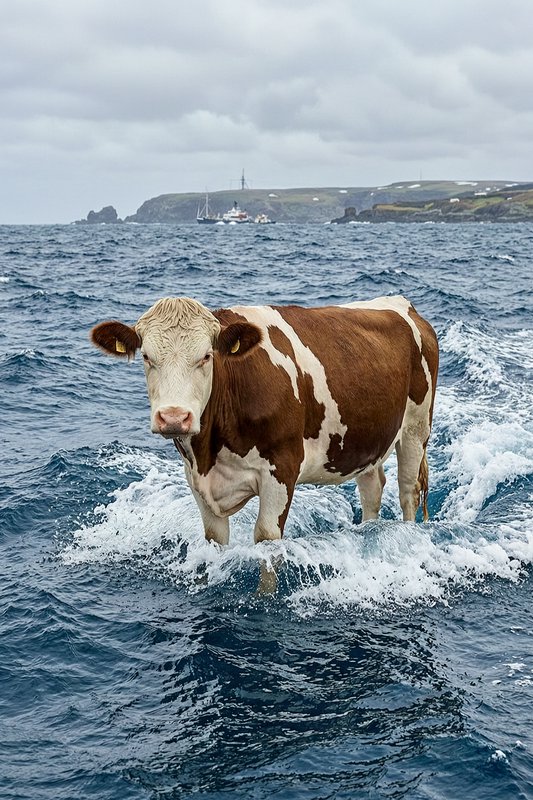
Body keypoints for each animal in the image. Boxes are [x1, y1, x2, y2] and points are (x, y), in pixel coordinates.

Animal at [91, 296, 439, 562]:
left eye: (206, 356)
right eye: (147, 357)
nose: (174, 417)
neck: (210, 452)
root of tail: (402, 305)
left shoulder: (281, 469)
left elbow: (266, 538)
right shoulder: (197, 480)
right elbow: (215, 538)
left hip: (415, 429)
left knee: (408, 492)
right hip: (366, 438)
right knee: (372, 489)